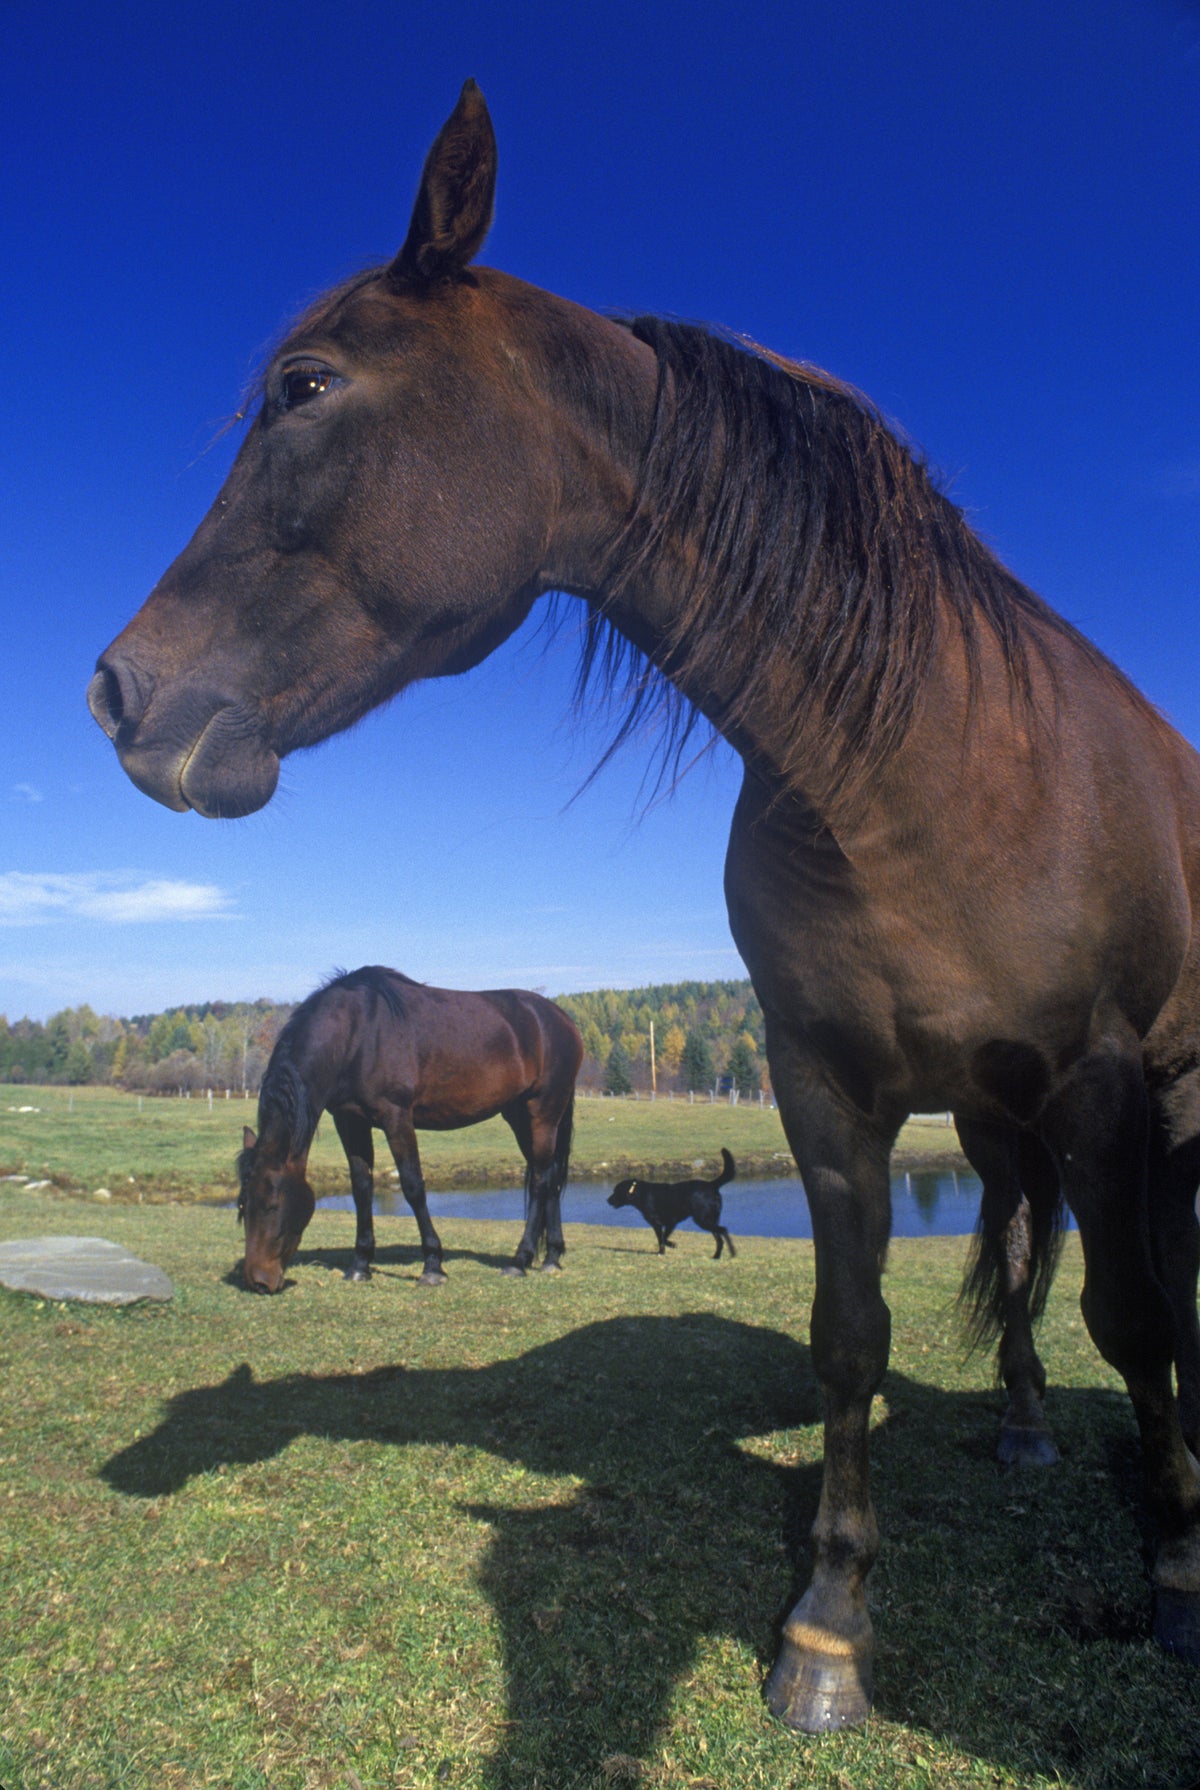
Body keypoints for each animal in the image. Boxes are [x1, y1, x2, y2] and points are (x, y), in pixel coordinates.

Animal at [236, 965, 582, 1293]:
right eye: (242, 1205)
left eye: (272, 1205)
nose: (258, 1281)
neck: (355, 1035)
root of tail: (562, 1019)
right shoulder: (350, 1121)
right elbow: (362, 1188)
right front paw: (360, 1264)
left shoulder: (396, 1117)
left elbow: (413, 1185)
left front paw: (433, 1265)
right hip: (520, 1116)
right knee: (550, 1176)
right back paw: (551, 1257)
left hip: (543, 1112)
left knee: (540, 1181)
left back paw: (520, 1260)